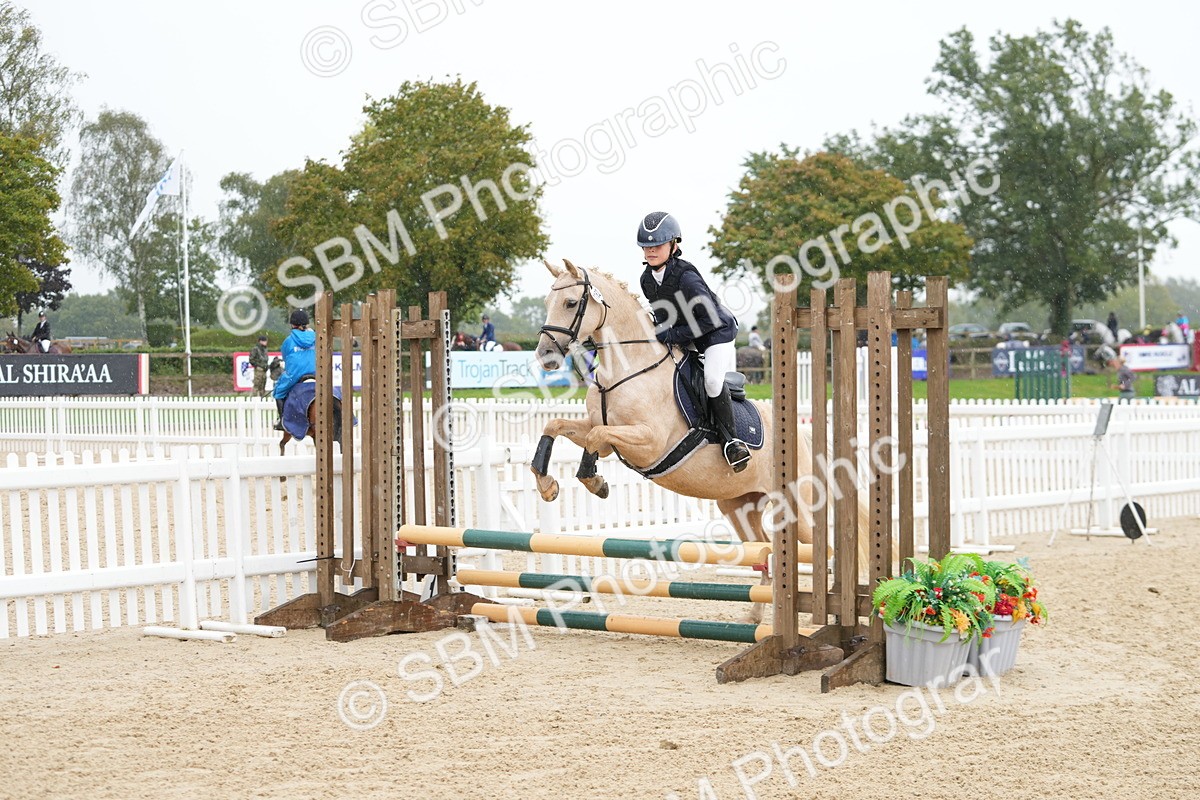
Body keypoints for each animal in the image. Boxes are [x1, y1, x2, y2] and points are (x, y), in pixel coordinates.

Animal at [529, 259, 869, 623]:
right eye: (547, 302)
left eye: (570, 303)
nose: (545, 356)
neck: (626, 369)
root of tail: (803, 438)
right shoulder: (599, 429)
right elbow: (556, 425)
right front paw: (548, 485)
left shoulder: (649, 442)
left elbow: (597, 438)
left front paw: (594, 481)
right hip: (740, 506)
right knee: (764, 550)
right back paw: (755, 618)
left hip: (799, 508)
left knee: (823, 549)